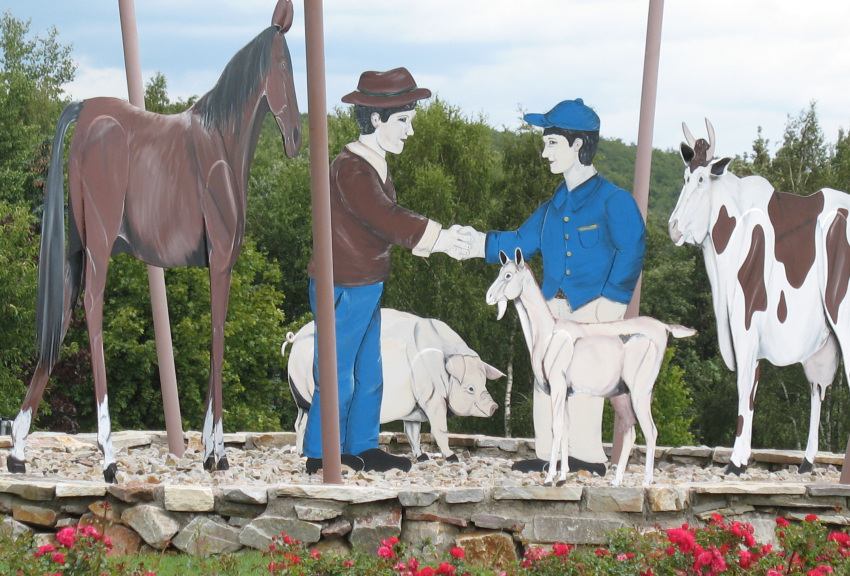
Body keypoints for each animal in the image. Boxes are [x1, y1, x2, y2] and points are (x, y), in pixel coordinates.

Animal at [664, 119, 844, 474]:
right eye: (685, 177)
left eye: (703, 179)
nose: (673, 228)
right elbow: (752, 388)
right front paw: (744, 458)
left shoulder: (746, 321)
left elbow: (744, 385)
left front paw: (735, 462)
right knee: (819, 388)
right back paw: (806, 462)